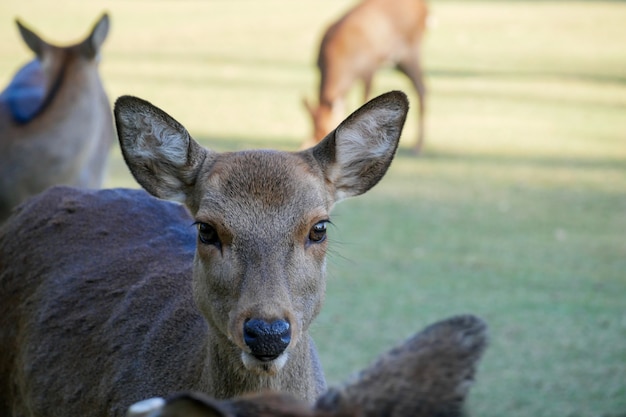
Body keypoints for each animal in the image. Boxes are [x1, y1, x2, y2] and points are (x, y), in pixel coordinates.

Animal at [302, 0, 428, 154]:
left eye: (325, 130)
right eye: (315, 130)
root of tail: (424, 7)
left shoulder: (369, 67)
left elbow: (364, 99)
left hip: (410, 52)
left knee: (422, 88)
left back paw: (418, 147)